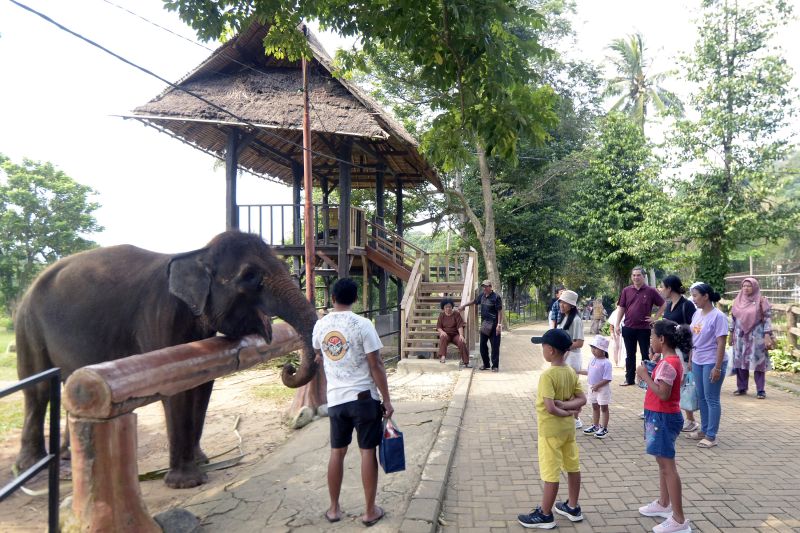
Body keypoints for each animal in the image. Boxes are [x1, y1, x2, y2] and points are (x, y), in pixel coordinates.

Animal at [14, 231, 318, 488]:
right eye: (251, 277)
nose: (288, 368)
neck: (197, 254)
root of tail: (30, 287)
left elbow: (202, 384)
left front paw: (201, 461)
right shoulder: (161, 316)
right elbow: (175, 386)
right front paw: (186, 482)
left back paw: (65, 460)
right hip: (28, 326)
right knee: (38, 390)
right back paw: (31, 468)